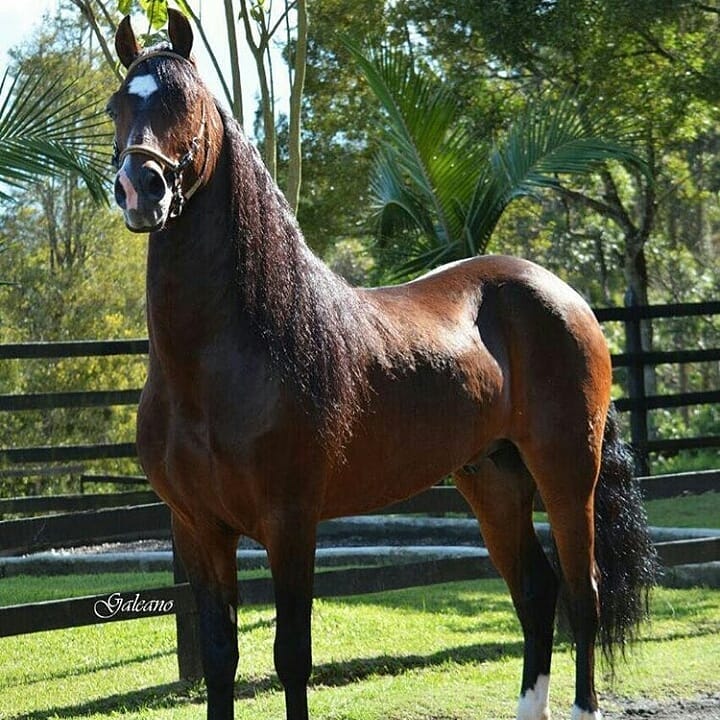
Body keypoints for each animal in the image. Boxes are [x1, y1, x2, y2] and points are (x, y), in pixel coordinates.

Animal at [108, 11, 660, 720]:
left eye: (187, 100)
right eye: (118, 105)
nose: (139, 188)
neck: (217, 365)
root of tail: (565, 296)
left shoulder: (292, 524)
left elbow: (292, 658)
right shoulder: (198, 530)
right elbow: (219, 658)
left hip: (568, 469)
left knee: (583, 592)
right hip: (493, 476)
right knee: (536, 590)